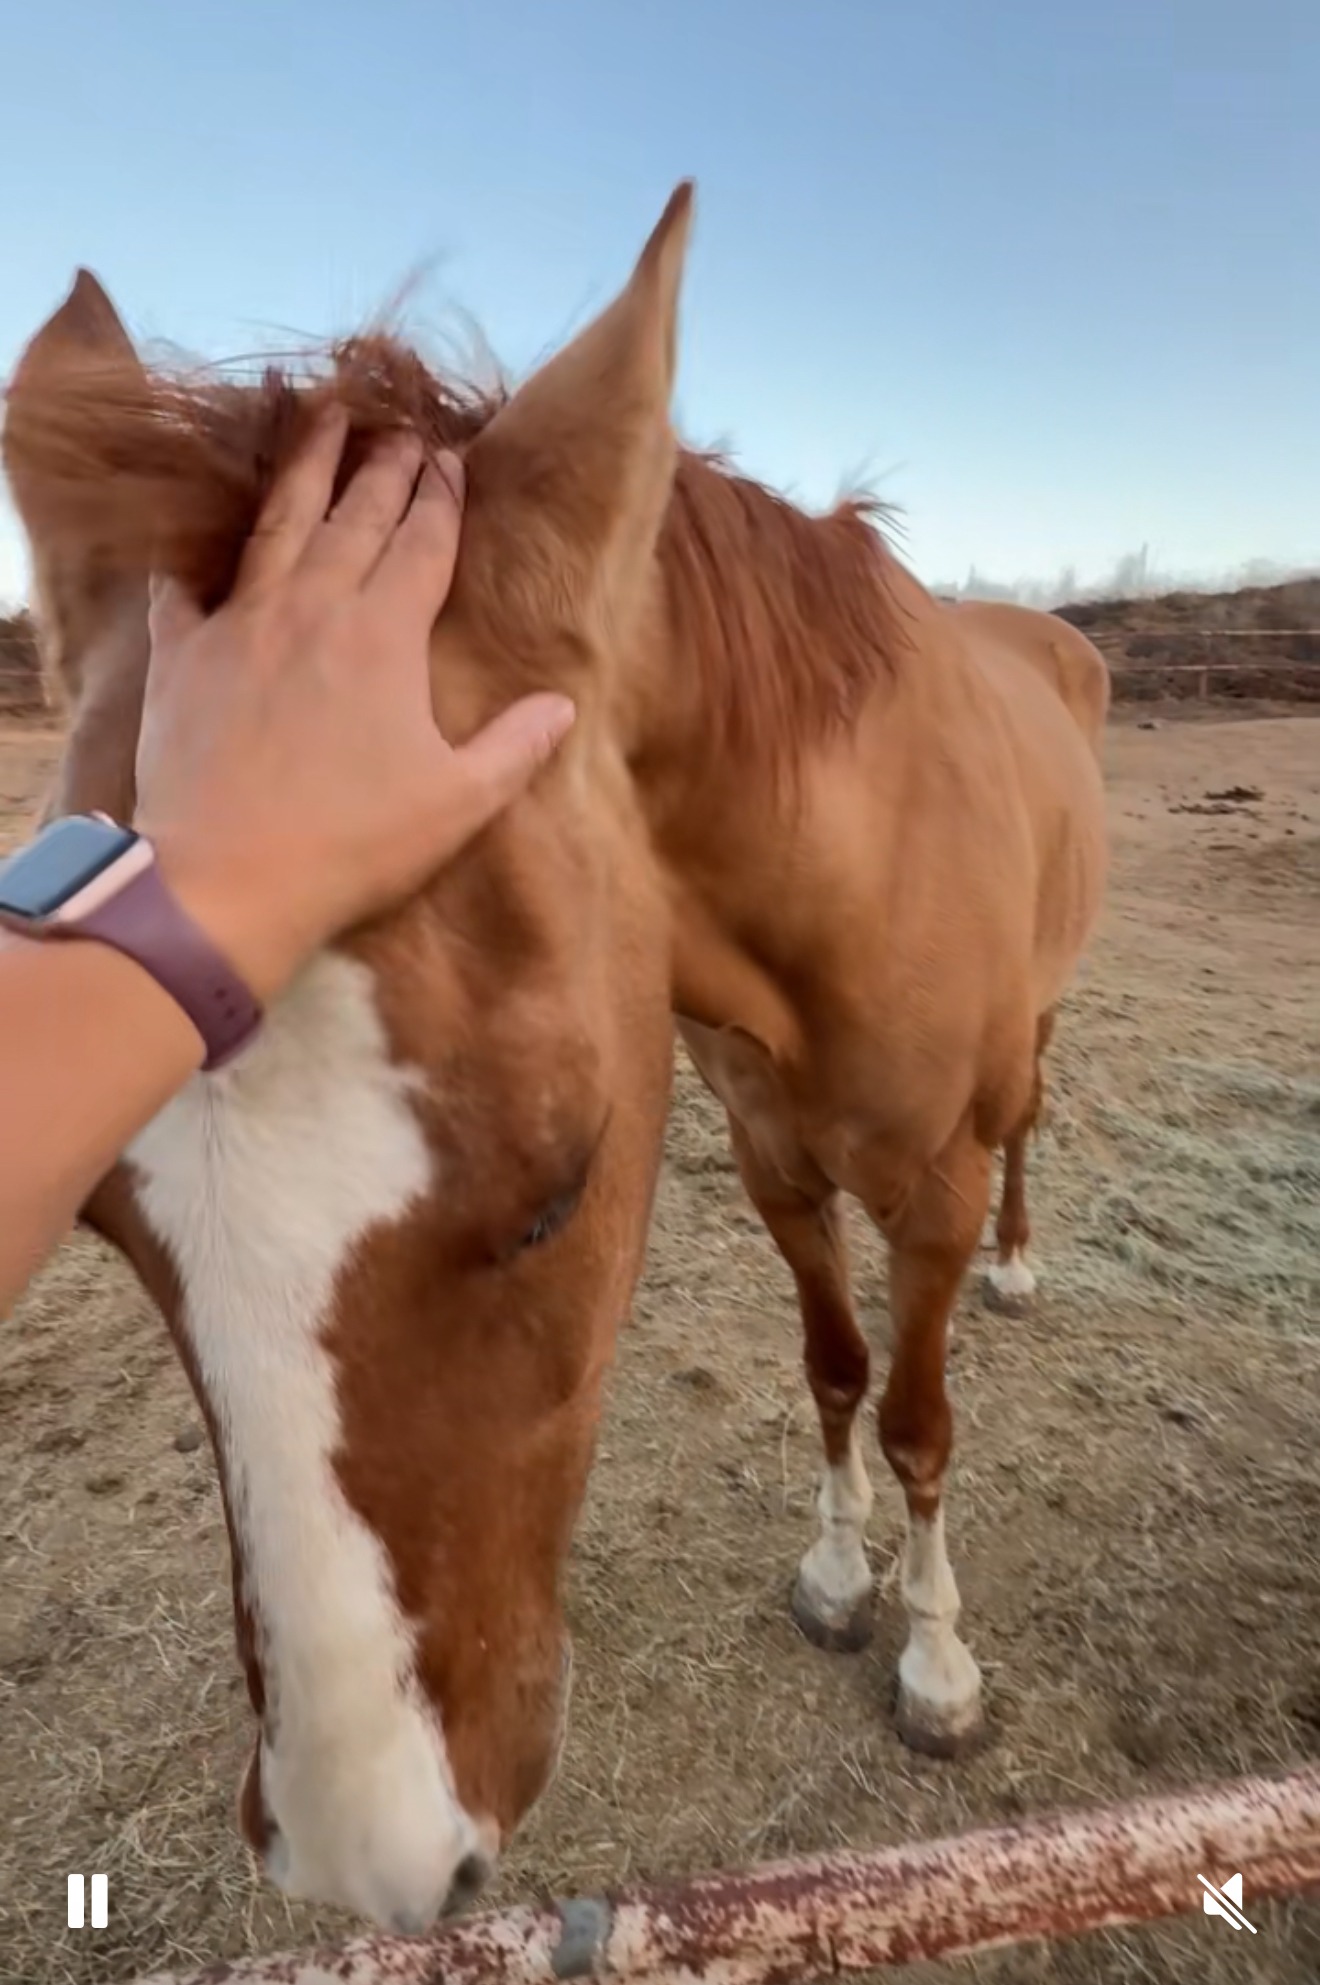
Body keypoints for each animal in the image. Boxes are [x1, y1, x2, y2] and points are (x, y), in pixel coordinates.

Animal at [2, 182, 1109, 1933]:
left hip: (1025, 1061)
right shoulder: (775, 1163)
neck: (847, 865)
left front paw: (938, 1662)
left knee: (1030, 1121)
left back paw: (1021, 1257)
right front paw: (837, 1574)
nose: (374, 1859)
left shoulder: (916, 1194)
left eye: (560, 1188)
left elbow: (923, 1420)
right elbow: (834, 1368)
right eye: (109, 1227)